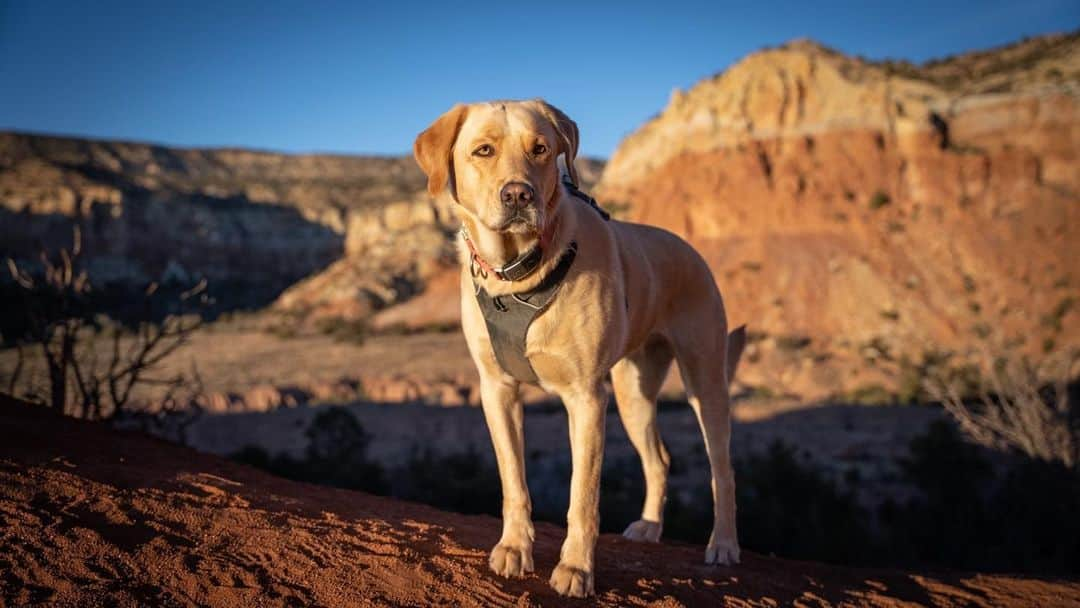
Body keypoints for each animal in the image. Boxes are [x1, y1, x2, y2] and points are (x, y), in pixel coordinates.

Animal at [410, 99, 743, 600]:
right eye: (483, 150)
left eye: (541, 149)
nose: (518, 195)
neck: (518, 273)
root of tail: (688, 248)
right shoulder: (497, 390)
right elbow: (514, 480)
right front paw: (514, 548)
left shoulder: (586, 397)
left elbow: (582, 496)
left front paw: (576, 569)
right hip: (632, 393)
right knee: (659, 459)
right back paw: (650, 526)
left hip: (705, 382)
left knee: (722, 466)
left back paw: (722, 544)